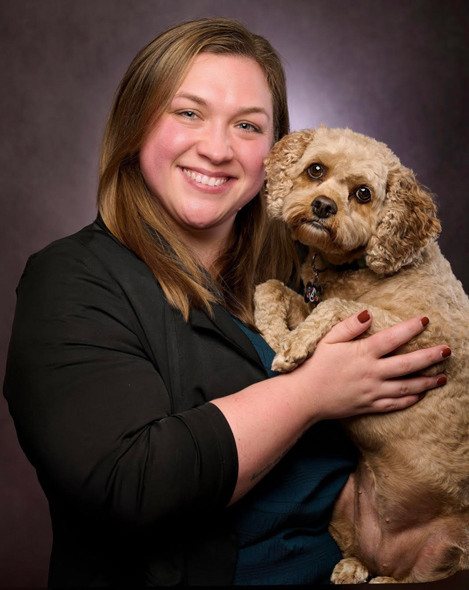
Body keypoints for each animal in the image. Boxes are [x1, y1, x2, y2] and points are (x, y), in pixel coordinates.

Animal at [254, 127, 468, 584]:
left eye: (364, 194)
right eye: (316, 170)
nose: (322, 206)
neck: (355, 270)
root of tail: (390, 554)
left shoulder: (434, 337)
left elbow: (340, 308)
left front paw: (295, 346)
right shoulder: (308, 298)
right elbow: (270, 288)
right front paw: (278, 336)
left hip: (457, 549)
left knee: (419, 579)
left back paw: (386, 580)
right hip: (342, 502)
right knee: (364, 555)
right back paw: (354, 567)